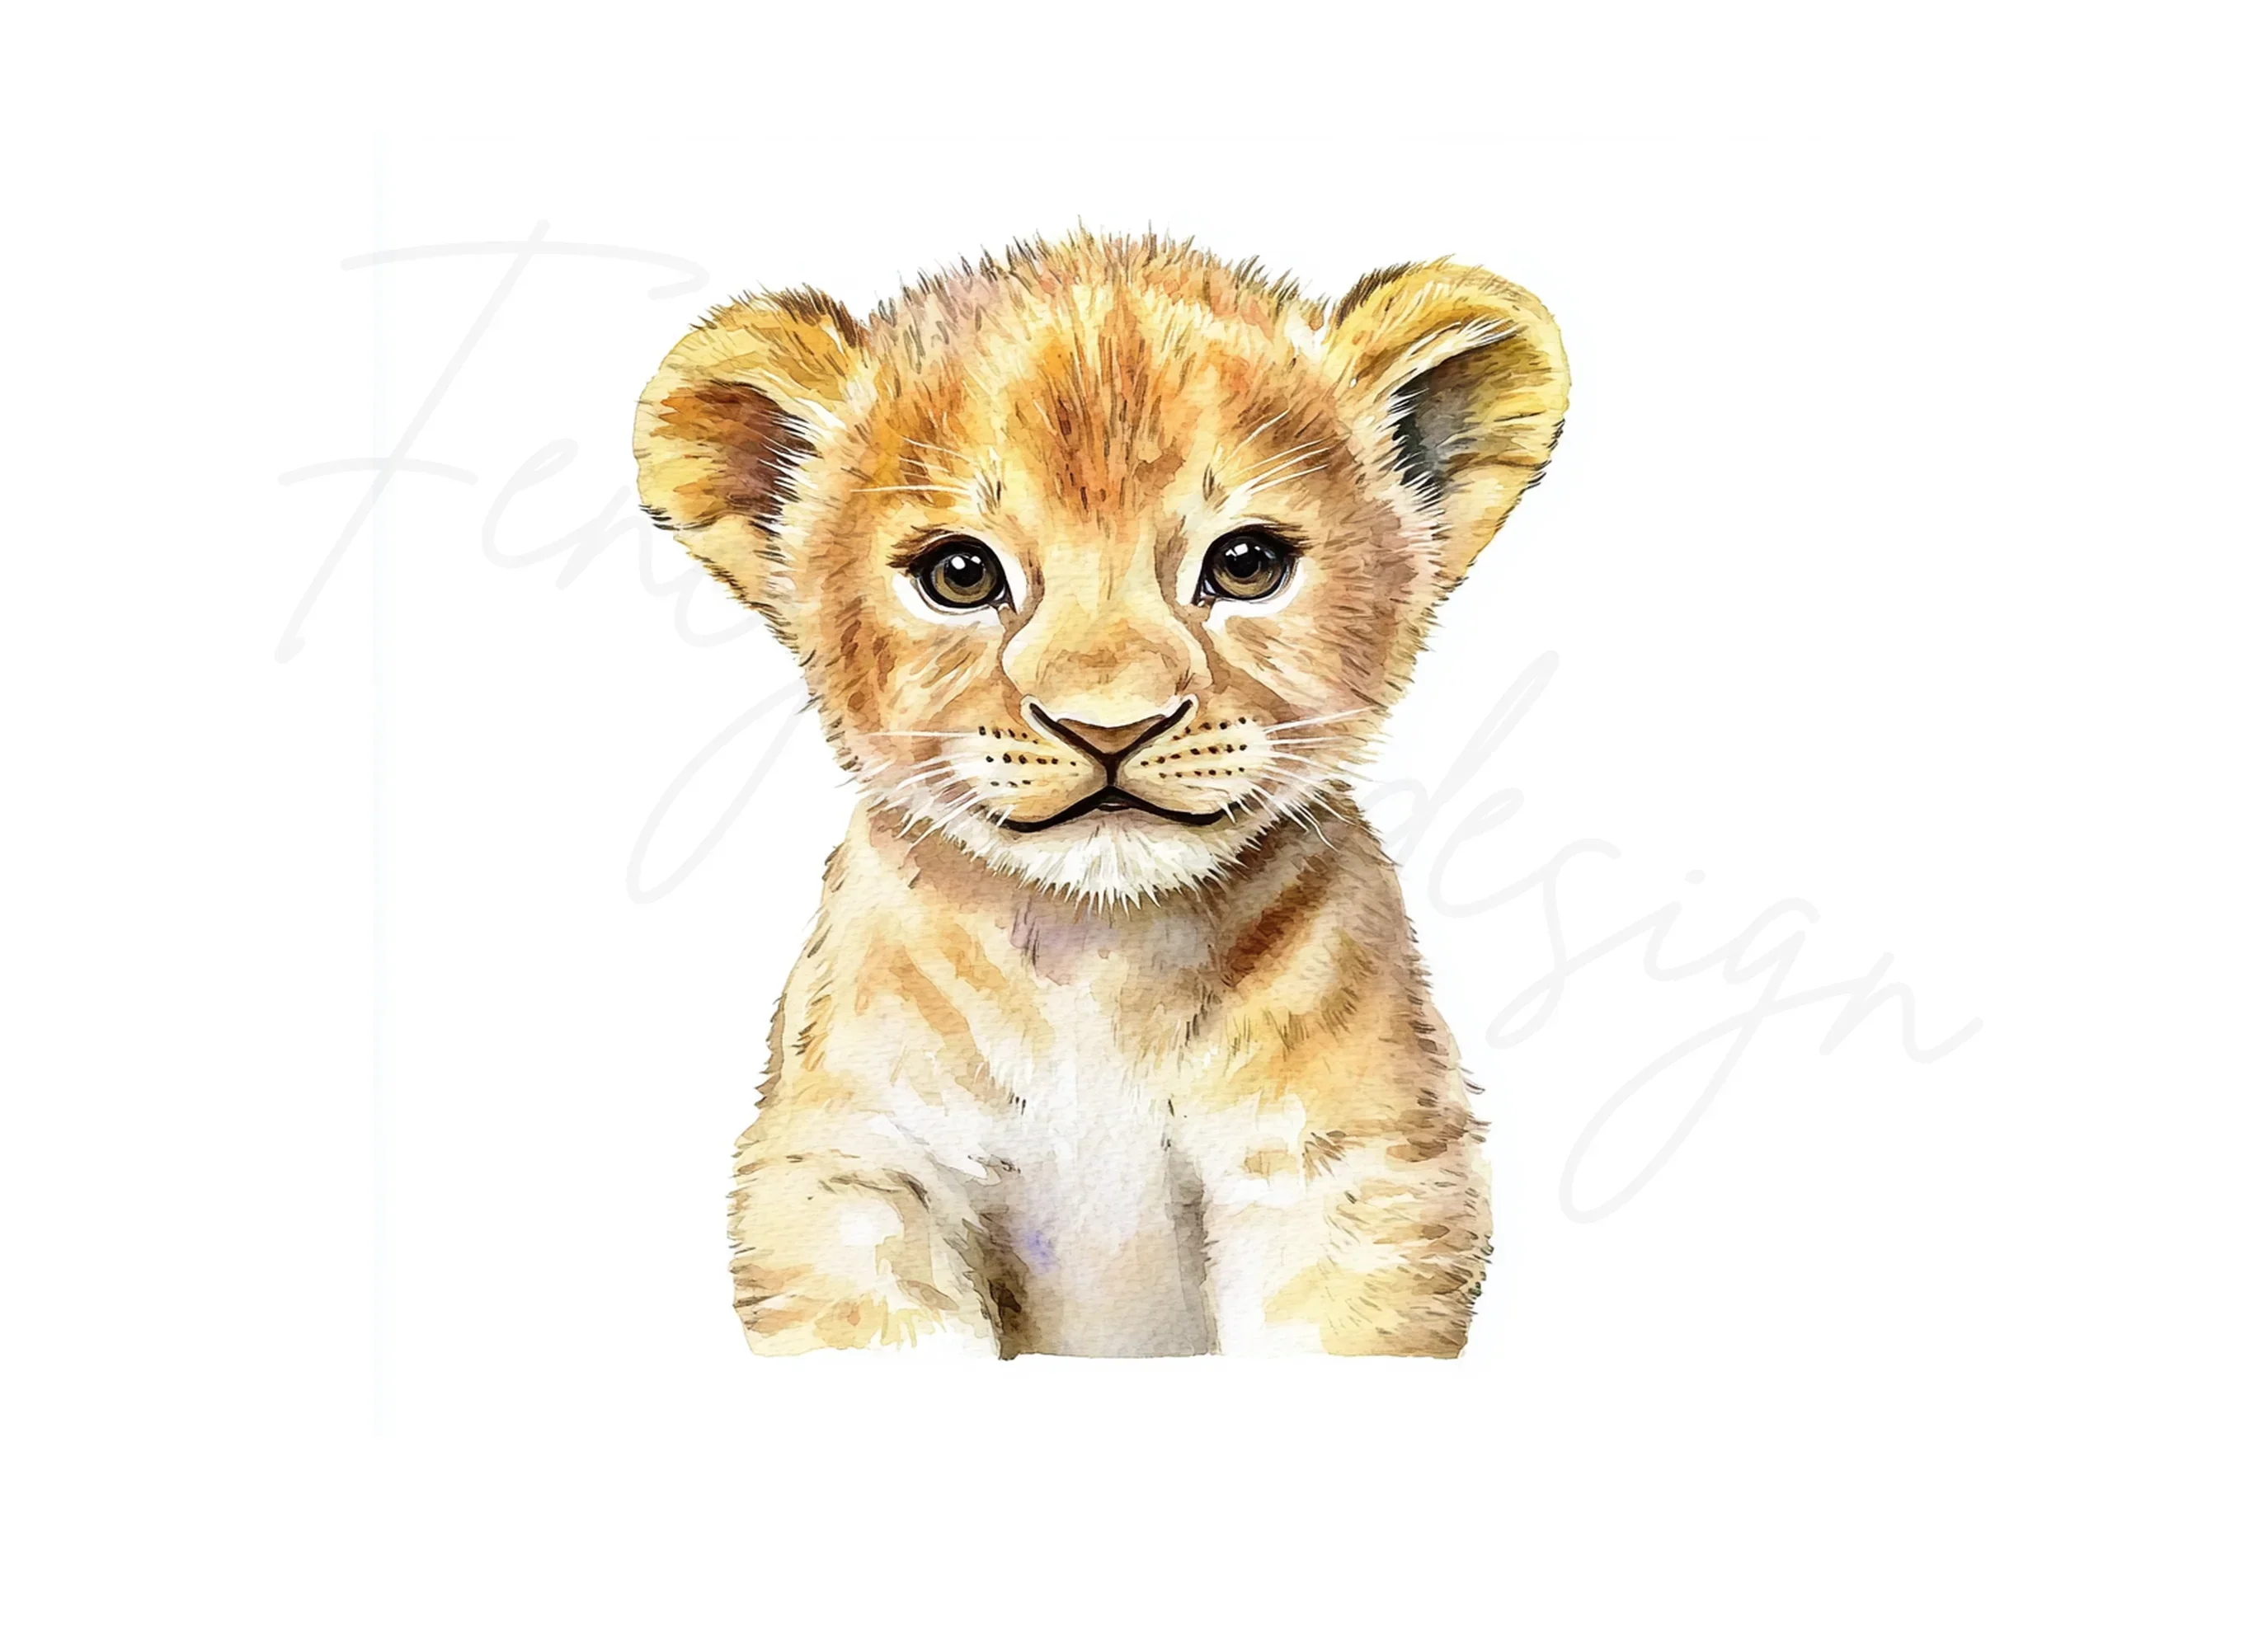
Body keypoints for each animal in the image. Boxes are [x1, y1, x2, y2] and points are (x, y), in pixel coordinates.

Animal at [633, 231, 1568, 1356]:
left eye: (1246, 563)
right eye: (958, 573)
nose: (1109, 726)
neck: (1099, 964)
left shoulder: (1351, 1177)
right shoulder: (849, 1171)